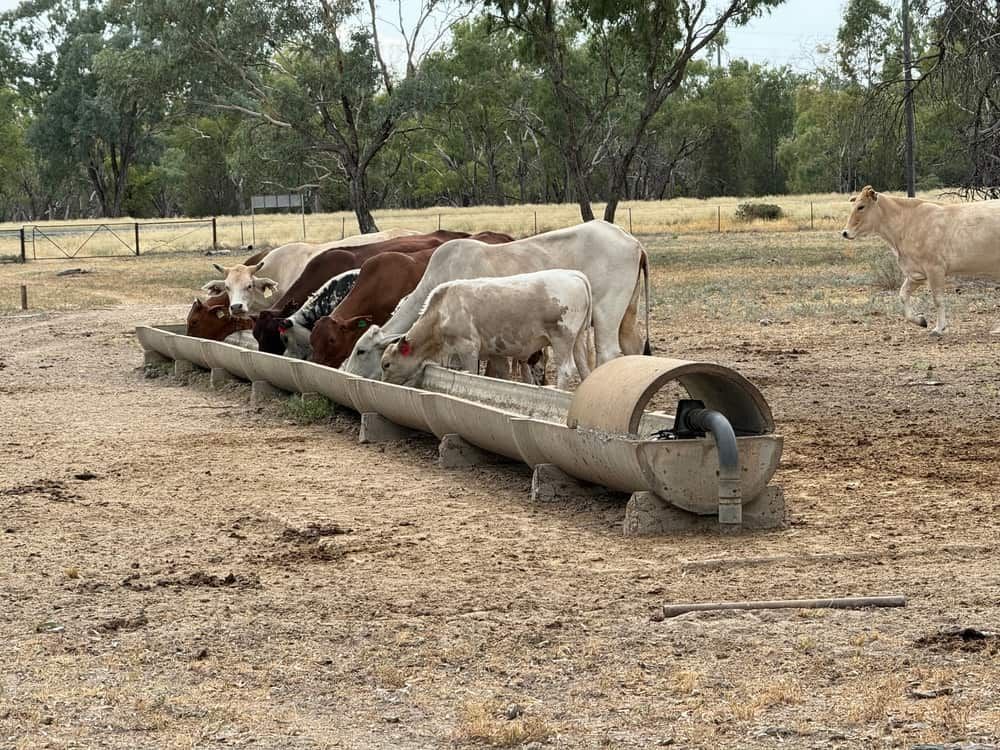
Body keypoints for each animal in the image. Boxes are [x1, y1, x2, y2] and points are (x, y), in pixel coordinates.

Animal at [380, 270, 593, 391]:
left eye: (386, 364)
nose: (383, 383)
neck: (441, 312)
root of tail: (575, 275)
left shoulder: (468, 348)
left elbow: (473, 373)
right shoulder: (494, 353)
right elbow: (503, 375)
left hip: (562, 338)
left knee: (566, 370)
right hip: (577, 340)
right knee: (584, 369)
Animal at [842, 185, 1000, 336]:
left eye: (861, 206)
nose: (844, 232)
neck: (907, 224)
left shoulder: (935, 268)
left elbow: (938, 299)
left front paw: (939, 328)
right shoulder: (916, 274)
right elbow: (903, 295)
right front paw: (920, 321)